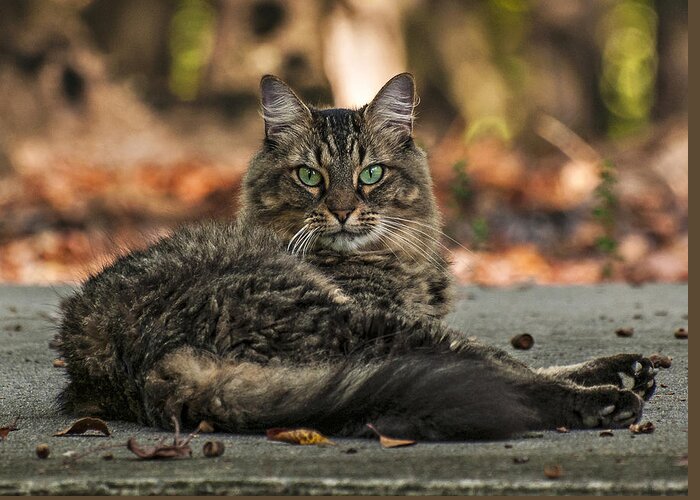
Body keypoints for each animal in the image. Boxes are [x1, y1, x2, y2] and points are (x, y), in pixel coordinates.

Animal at [53, 72, 656, 440]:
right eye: (309, 176)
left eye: (371, 174)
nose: (343, 211)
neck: (402, 262)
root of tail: (146, 365)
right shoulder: (402, 318)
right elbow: (511, 360)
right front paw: (611, 382)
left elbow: (527, 356)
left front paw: (626, 366)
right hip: (359, 323)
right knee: (499, 377)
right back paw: (605, 400)